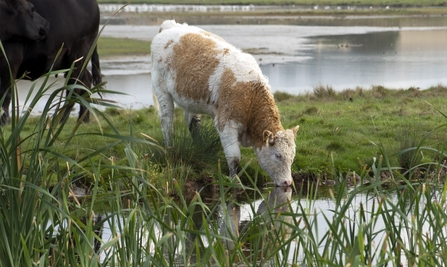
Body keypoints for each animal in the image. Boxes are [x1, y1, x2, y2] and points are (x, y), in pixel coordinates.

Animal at [151, 21, 300, 187]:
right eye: (278, 155)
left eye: (292, 156)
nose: (288, 182)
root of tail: (171, 25)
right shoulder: (226, 123)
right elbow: (234, 157)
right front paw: (235, 181)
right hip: (161, 89)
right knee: (166, 121)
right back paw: (169, 146)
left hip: (190, 98)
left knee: (193, 123)